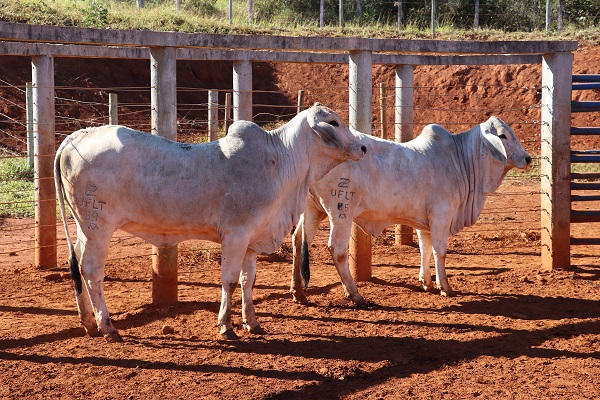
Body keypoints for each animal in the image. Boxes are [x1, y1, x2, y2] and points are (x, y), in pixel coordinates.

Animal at [55, 102, 366, 340]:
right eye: (333, 122)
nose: (363, 148)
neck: (280, 161)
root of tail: (77, 136)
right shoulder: (236, 236)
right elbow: (229, 281)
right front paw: (226, 326)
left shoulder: (251, 241)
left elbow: (248, 281)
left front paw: (252, 323)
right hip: (99, 227)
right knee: (91, 271)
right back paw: (107, 327)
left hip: (85, 228)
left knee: (78, 265)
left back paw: (88, 322)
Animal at [292, 117, 532, 304]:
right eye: (502, 136)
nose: (528, 158)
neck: (460, 159)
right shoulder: (442, 215)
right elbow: (439, 251)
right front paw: (445, 287)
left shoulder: (424, 223)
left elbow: (425, 248)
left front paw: (426, 282)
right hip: (341, 212)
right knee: (337, 249)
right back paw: (355, 295)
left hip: (313, 210)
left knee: (299, 240)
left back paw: (298, 292)